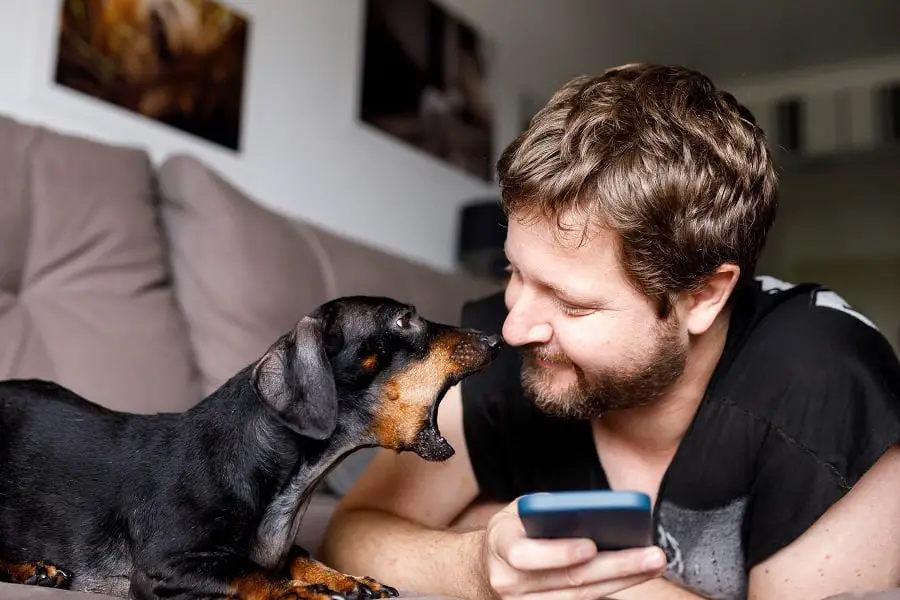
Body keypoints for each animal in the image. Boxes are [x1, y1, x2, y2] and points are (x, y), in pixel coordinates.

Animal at [0, 296, 502, 600]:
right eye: (402, 319)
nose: (495, 339)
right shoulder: (164, 565)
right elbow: (247, 571)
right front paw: (300, 590)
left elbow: (297, 556)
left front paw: (345, 578)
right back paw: (30, 569)